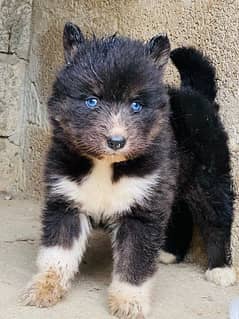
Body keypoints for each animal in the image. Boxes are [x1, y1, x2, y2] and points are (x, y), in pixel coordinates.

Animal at [22, 23, 235, 319]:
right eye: (92, 101)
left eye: (136, 105)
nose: (116, 141)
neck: (106, 165)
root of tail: (194, 92)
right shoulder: (66, 202)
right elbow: (57, 253)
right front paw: (44, 288)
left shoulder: (141, 212)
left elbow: (134, 261)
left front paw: (129, 301)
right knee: (179, 213)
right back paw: (169, 253)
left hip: (209, 178)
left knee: (217, 219)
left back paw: (220, 269)